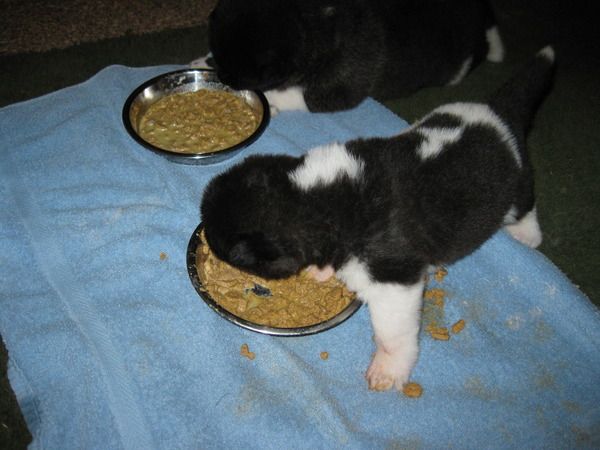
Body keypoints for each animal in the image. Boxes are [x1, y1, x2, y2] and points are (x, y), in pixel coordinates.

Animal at [193, 0, 505, 113]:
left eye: (235, 75)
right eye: (218, 59)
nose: (222, 78)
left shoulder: (337, 88)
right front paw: (200, 61)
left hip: (456, 64)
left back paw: (495, 47)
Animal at [200, 47, 555, 391]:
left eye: (227, 251)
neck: (314, 197)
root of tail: (497, 112)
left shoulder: (393, 280)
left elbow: (392, 331)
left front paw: (388, 369)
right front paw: (320, 271)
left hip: (517, 187)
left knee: (527, 204)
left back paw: (528, 235)